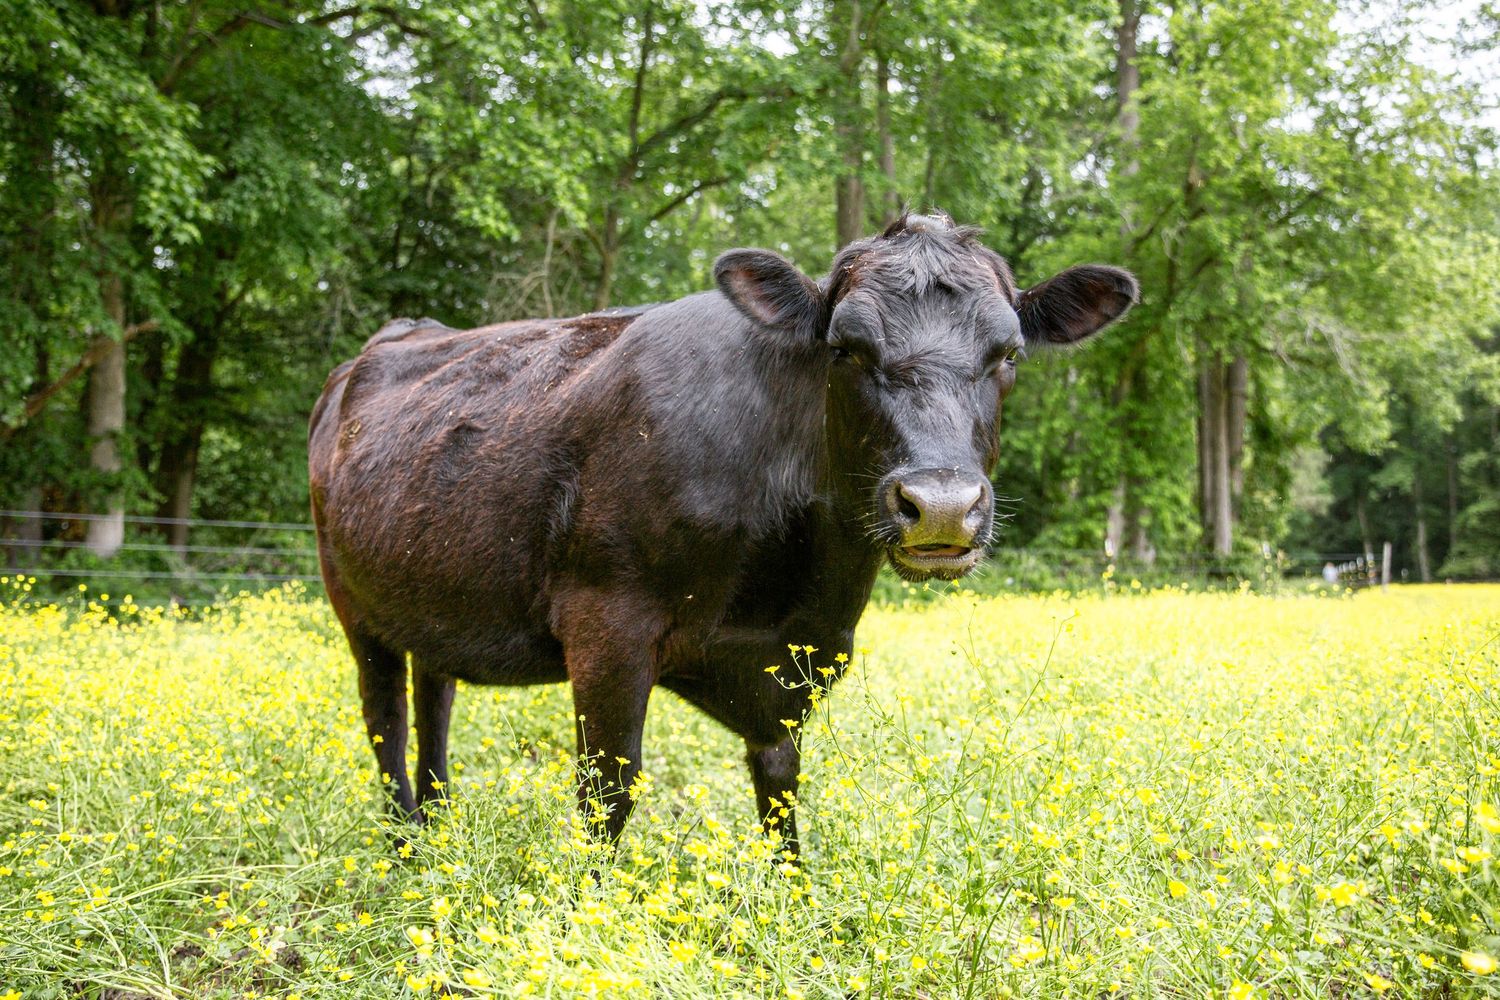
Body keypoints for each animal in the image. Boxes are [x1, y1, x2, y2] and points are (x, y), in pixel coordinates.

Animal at [308, 213, 1137, 855]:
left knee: (434, 698)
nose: (939, 505)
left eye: (1009, 354)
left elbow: (780, 788)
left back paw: (438, 829)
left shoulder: (797, 662)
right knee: (386, 719)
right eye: (845, 349)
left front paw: (796, 909)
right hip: (351, 601)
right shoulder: (606, 627)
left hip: (430, 590)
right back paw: (405, 846)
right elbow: (607, 797)